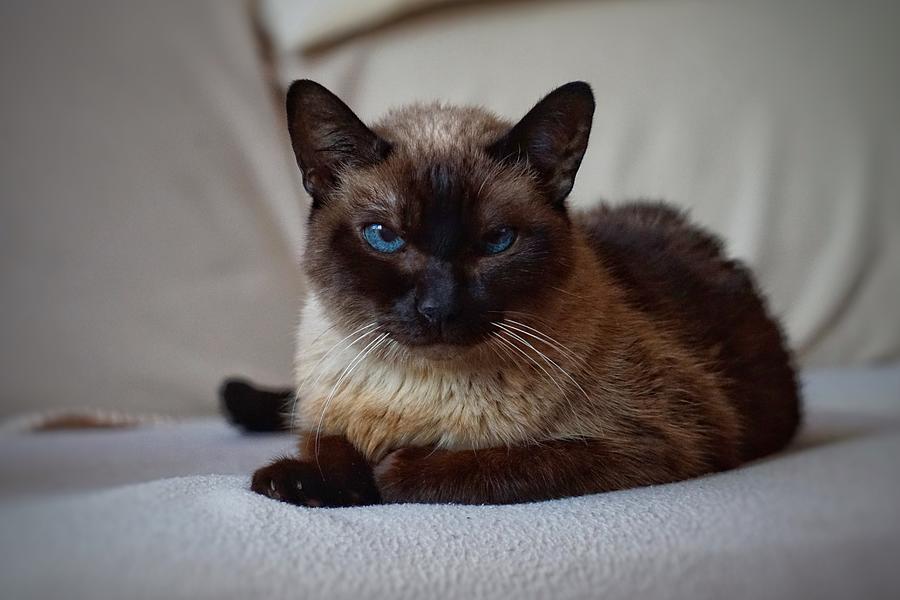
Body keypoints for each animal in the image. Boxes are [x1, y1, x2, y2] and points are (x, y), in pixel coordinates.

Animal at [227, 79, 800, 508]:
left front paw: (388, 469)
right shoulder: (328, 417)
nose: (439, 308)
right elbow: (328, 445)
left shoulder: (656, 440)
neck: (418, 394)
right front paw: (293, 480)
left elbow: (458, 466)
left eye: (497, 241)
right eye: (384, 237)